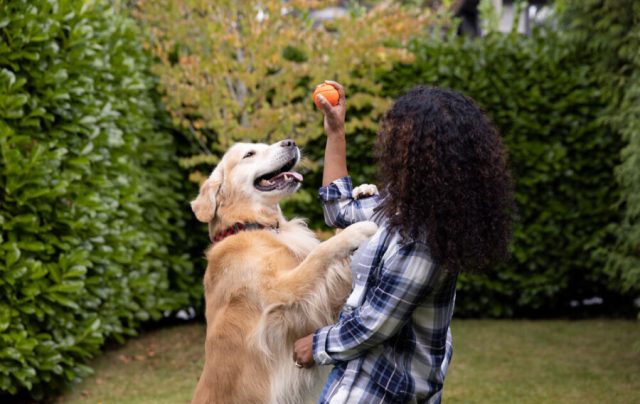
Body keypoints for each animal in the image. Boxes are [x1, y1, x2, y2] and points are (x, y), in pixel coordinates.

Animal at [192, 140, 378, 404]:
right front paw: (356, 230)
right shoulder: (282, 293)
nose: (290, 142)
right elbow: (319, 252)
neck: (251, 225)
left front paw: (364, 190)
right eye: (249, 154)